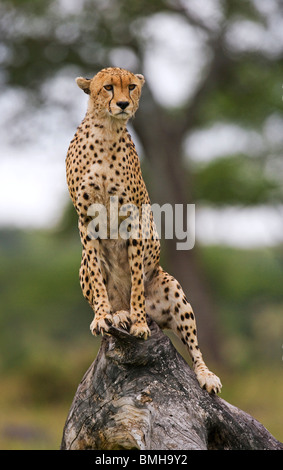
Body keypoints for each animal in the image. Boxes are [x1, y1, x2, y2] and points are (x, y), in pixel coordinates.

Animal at [65, 68, 223, 394]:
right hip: (83, 263)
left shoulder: (133, 218)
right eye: (108, 87)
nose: (124, 104)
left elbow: (136, 278)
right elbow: (98, 280)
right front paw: (103, 317)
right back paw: (118, 313)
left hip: (172, 287)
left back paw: (205, 374)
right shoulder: (85, 219)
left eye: (132, 87)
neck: (107, 131)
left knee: (193, 345)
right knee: (96, 279)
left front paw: (138, 323)